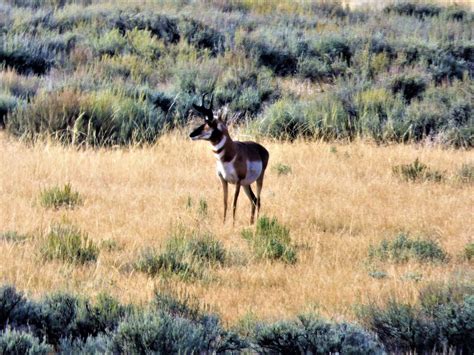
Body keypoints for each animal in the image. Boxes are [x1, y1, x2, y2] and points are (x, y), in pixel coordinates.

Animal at [190, 94, 270, 225]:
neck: (231, 154)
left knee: (258, 200)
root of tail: (262, 149)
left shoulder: (237, 181)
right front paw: (223, 223)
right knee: (253, 199)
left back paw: (258, 222)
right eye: (204, 121)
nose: (191, 134)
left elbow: (234, 203)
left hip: (259, 179)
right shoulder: (223, 180)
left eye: (210, 123)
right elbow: (225, 203)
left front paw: (232, 224)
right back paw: (251, 222)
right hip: (246, 184)